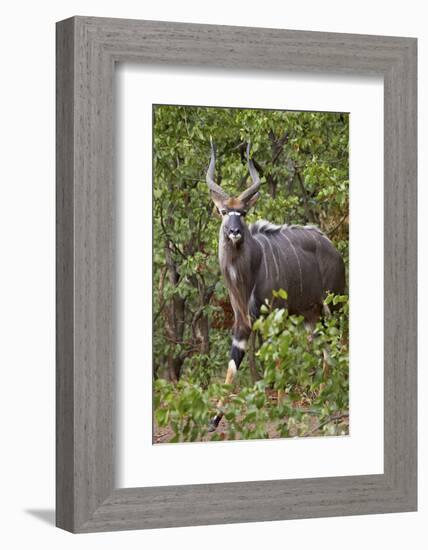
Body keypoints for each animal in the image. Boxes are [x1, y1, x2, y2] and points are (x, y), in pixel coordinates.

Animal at [206, 141, 346, 432]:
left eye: (243, 212)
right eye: (224, 211)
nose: (235, 232)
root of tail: (333, 248)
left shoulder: (275, 316)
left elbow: (277, 359)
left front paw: (280, 407)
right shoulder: (243, 323)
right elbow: (232, 366)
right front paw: (213, 420)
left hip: (334, 304)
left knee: (338, 342)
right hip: (311, 315)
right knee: (324, 348)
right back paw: (321, 395)